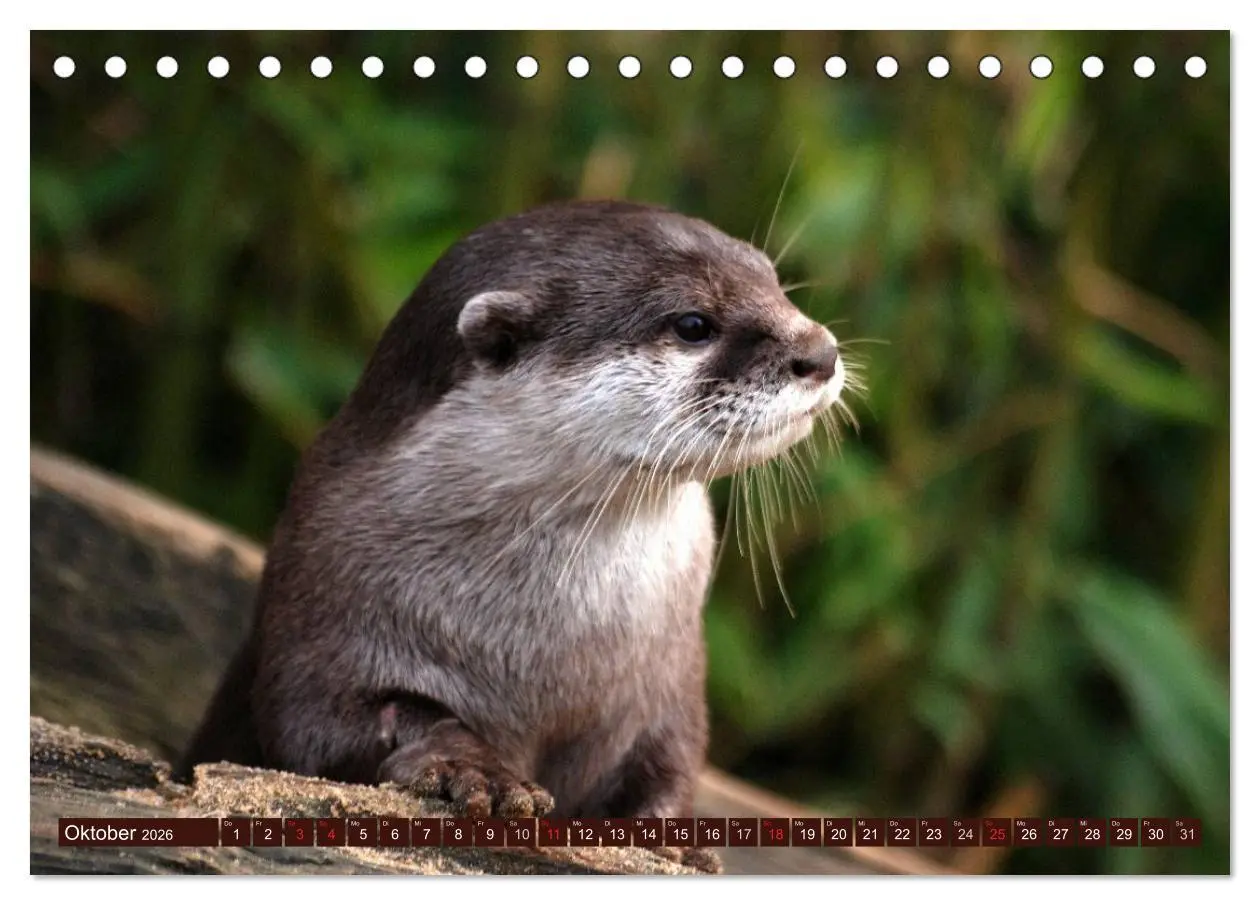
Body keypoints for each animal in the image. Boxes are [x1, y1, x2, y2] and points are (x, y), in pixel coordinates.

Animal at [182, 200, 846, 866]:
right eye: (692, 323)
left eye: (773, 281)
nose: (820, 352)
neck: (551, 652)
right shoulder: (320, 601)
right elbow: (322, 725)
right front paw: (472, 769)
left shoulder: (672, 683)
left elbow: (671, 762)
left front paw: (673, 840)